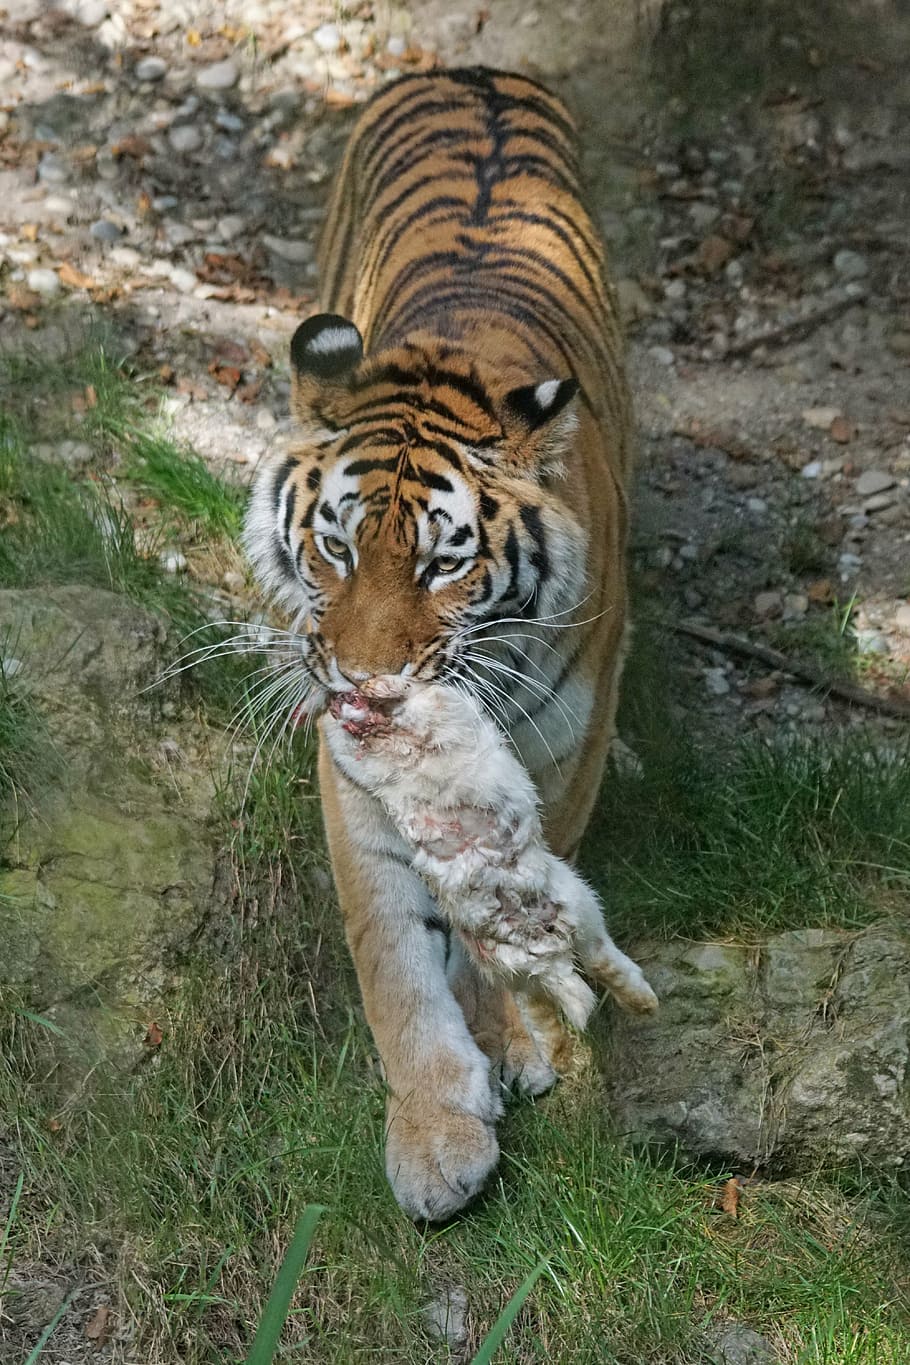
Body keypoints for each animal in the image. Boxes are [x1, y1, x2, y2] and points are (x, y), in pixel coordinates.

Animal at [243, 66, 634, 1220]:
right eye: (334, 547)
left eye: (440, 565)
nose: (367, 681)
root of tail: (472, 70)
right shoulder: (351, 774)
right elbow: (393, 953)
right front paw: (432, 1130)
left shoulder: (563, 745)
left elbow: (499, 911)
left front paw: (510, 1041)